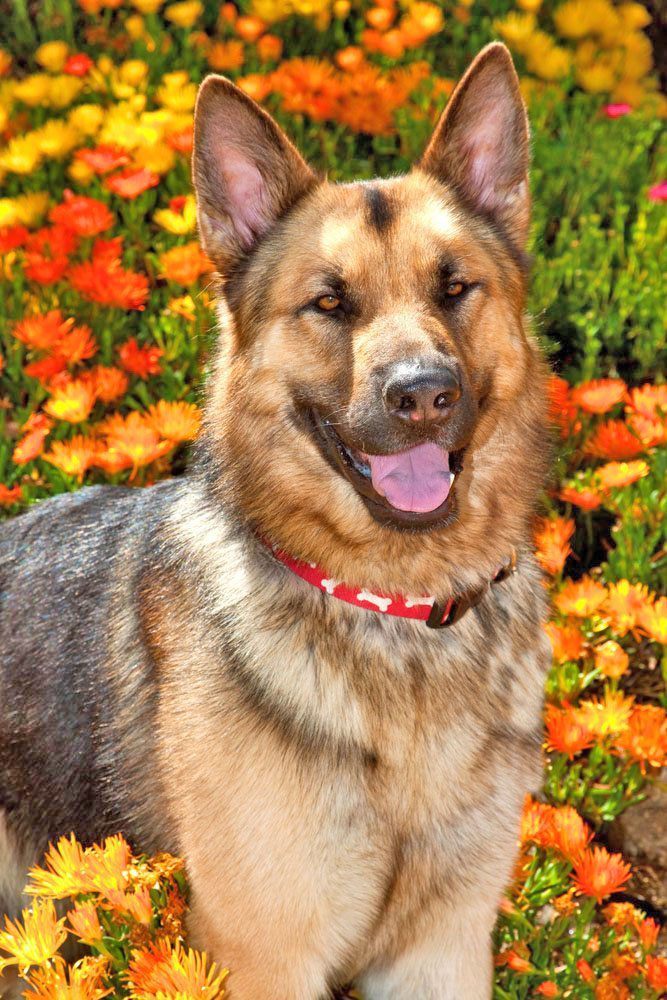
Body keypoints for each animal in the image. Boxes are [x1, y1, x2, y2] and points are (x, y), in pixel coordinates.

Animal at [0, 45, 552, 1000]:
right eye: (329, 304)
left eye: (454, 289)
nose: (422, 395)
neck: (394, 611)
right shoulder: (266, 954)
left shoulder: (440, 952)